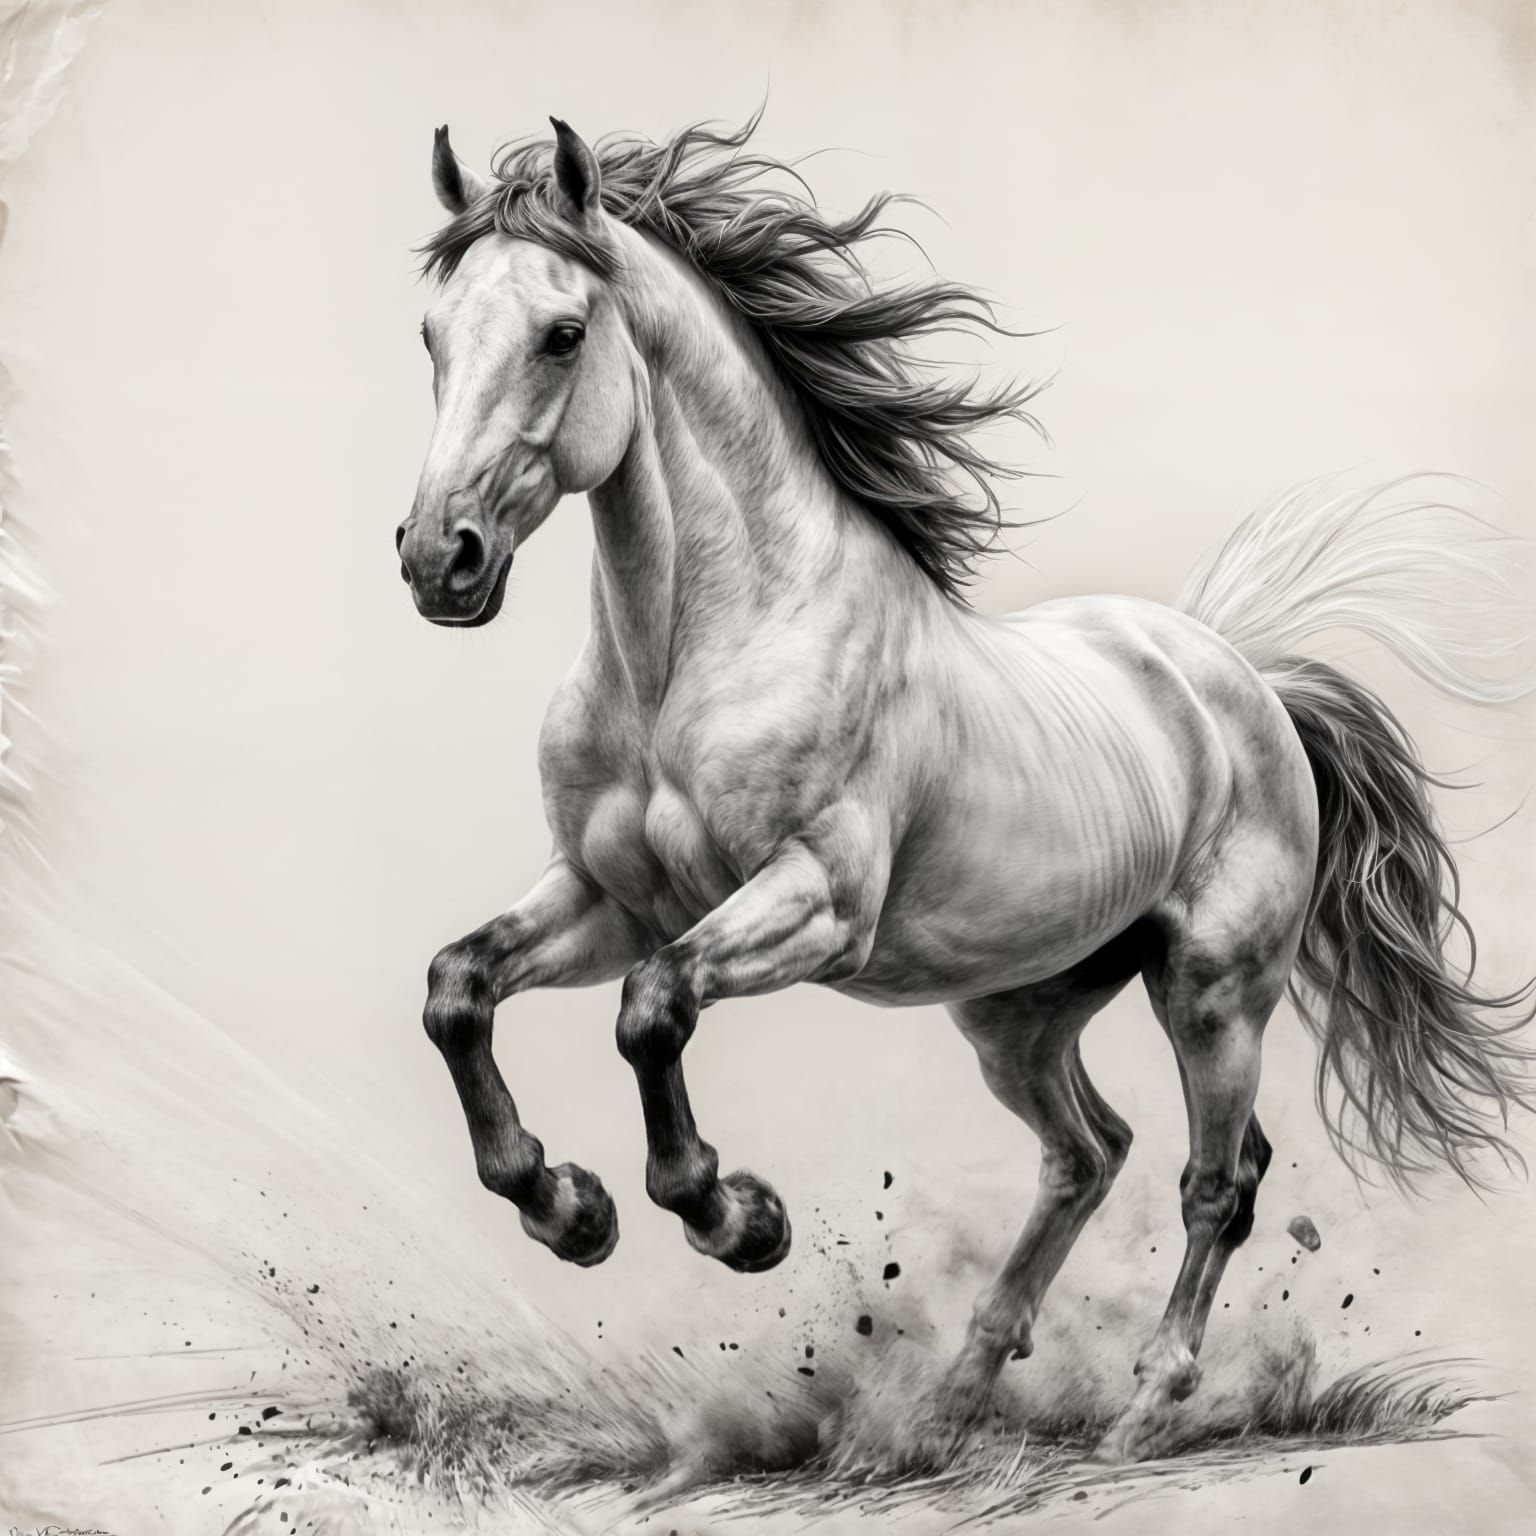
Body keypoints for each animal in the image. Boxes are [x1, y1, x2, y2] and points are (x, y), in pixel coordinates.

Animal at [395, 114, 1533, 1463]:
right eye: (432, 334)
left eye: (562, 333)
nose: (438, 560)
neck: (696, 656)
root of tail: (1242, 676)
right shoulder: (605, 896)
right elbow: (458, 990)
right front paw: (565, 1207)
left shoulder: (816, 903)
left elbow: (651, 1010)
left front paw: (737, 1219)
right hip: (1016, 1009)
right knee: (1089, 1155)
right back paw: (943, 1410)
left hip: (1214, 991)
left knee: (1218, 1180)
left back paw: (1141, 1410)